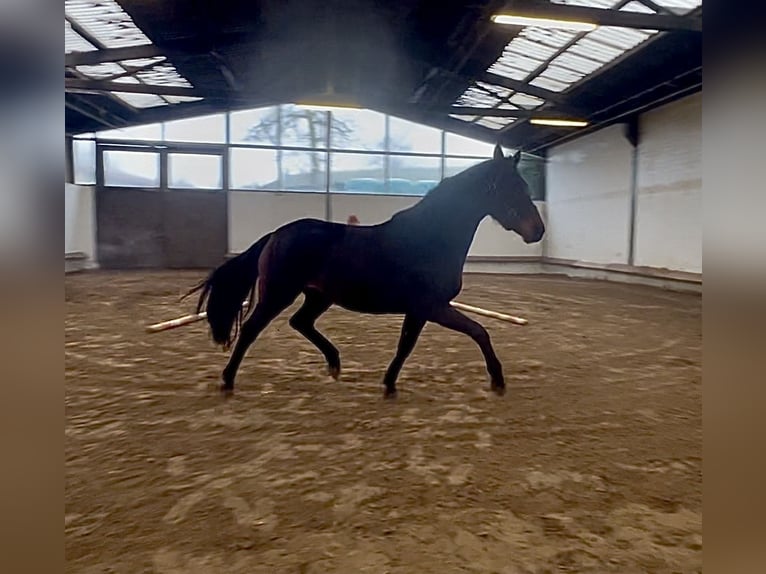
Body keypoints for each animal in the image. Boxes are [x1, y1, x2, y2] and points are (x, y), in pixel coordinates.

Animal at [185, 144, 545, 398]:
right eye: (512, 188)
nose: (538, 231)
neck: (429, 238)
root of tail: (276, 234)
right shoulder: (432, 306)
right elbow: (478, 332)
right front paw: (497, 380)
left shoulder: (420, 310)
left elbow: (406, 345)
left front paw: (389, 384)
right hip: (278, 294)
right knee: (250, 330)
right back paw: (227, 381)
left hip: (318, 296)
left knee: (300, 322)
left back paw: (334, 364)